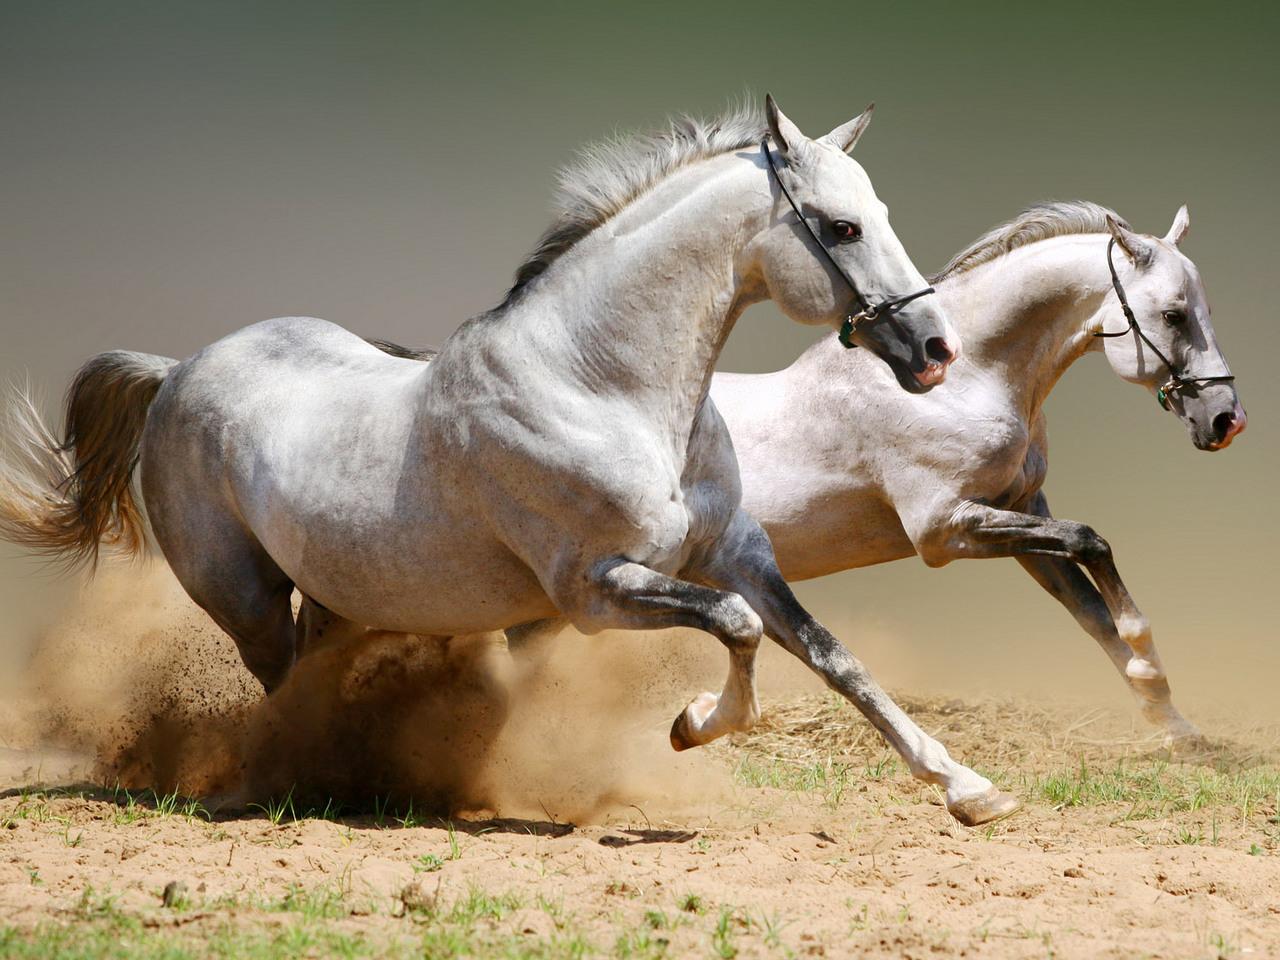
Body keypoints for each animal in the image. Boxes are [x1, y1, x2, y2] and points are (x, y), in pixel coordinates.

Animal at [0, 103, 1018, 829]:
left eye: (879, 214)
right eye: (841, 228)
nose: (934, 350)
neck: (600, 384)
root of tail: (177, 371)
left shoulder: (736, 555)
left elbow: (833, 657)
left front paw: (970, 789)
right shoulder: (595, 589)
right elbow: (734, 630)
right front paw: (692, 725)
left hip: (336, 594)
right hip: (243, 597)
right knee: (279, 686)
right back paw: (295, 782)